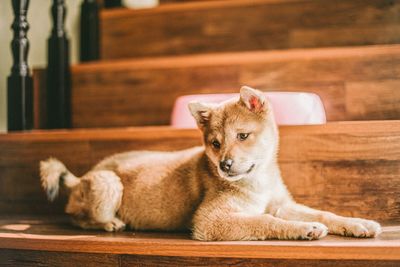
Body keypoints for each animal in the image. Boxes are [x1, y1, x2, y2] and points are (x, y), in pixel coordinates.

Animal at [39, 87, 382, 242]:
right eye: (215, 143)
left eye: (242, 135)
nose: (225, 166)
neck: (259, 180)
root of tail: (81, 177)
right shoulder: (210, 221)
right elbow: (263, 222)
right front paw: (304, 229)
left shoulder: (282, 204)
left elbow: (325, 212)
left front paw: (358, 223)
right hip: (109, 184)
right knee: (75, 218)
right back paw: (109, 223)